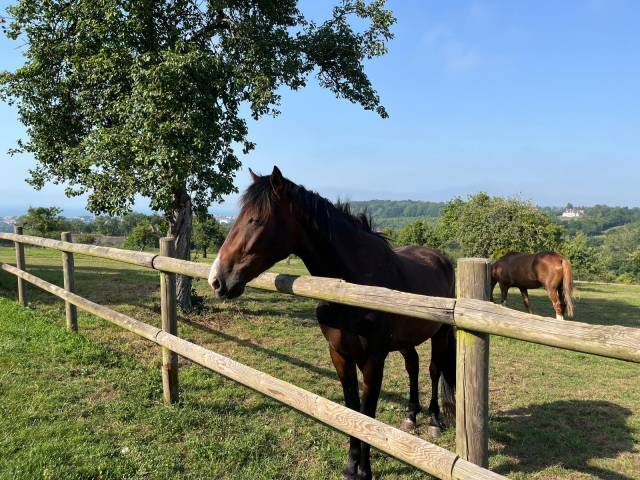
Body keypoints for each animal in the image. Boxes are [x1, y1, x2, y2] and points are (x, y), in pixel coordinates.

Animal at [208, 166, 456, 480]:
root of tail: (442, 259)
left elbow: (367, 413)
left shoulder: (373, 359)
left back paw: (434, 420)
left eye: (256, 220)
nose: (217, 280)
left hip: (441, 334)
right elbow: (351, 409)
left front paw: (365, 471)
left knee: (435, 370)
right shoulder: (339, 356)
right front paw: (351, 467)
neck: (352, 285)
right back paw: (411, 416)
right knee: (413, 365)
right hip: (405, 341)